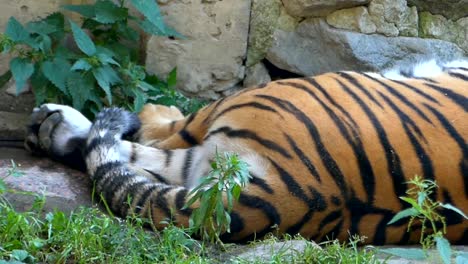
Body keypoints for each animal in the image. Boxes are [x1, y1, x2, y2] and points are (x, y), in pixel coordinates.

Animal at [23, 58, 466, 244]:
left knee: (164, 133)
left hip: (258, 97)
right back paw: (51, 127)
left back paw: (60, 122)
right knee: (144, 154)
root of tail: (293, 192)